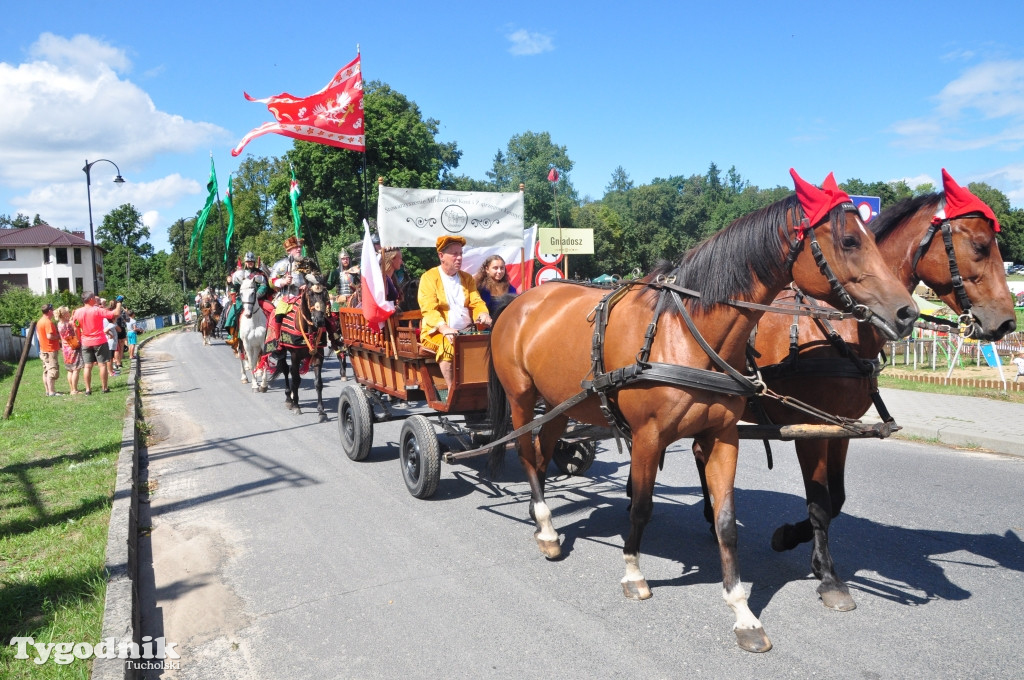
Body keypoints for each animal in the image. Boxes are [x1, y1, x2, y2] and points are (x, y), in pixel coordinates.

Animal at [264, 266, 331, 419]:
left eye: (326, 294)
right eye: (310, 294)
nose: (320, 321)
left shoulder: (318, 355)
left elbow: (318, 383)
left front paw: (321, 411)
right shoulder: (295, 356)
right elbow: (296, 379)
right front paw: (296, 406)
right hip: (282, 351)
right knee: (285, 369)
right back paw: (289, 399)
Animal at [483, 171, 917, 655]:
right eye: (848, 240)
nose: (907, 313)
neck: (685, 331)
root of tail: (521, 301)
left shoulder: (723, 435)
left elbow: (728, 523)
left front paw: (742, 611)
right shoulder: (648, 437)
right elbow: (641, 506)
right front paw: (633, 572)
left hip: (560, 405)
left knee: (543, 453)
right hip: (523, 399)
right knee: (527, 455)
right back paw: (545, 529)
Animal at [696, 168, 1015, 610]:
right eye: (981, 246)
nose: (1007, 323)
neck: (840, 326)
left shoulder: (841, 427)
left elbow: (837, 500)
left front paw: (800, 546)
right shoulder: (811, 431)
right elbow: (819, 504)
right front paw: (828, 575)